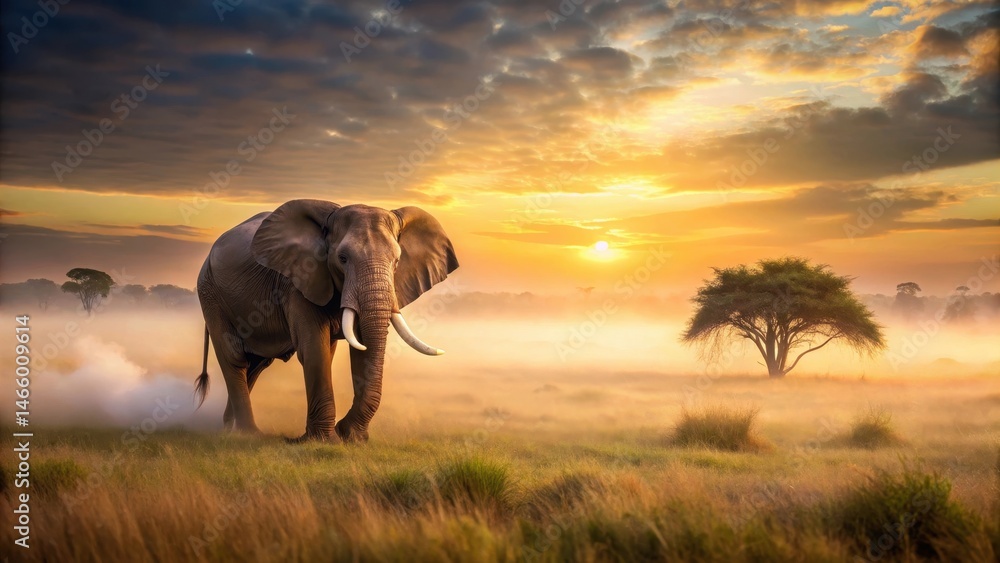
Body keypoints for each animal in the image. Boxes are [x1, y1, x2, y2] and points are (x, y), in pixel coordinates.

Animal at [193, 199, 458, 442]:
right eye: (342, 258)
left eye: (397, 262)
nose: (343, 429)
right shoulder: (298, 279)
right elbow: (314, 349)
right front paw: (324, 440)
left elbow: (360, 350)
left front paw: (352, 438)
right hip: (210, 293)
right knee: (235, 358)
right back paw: (248, 434)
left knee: (256, 364)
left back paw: (230, 428)